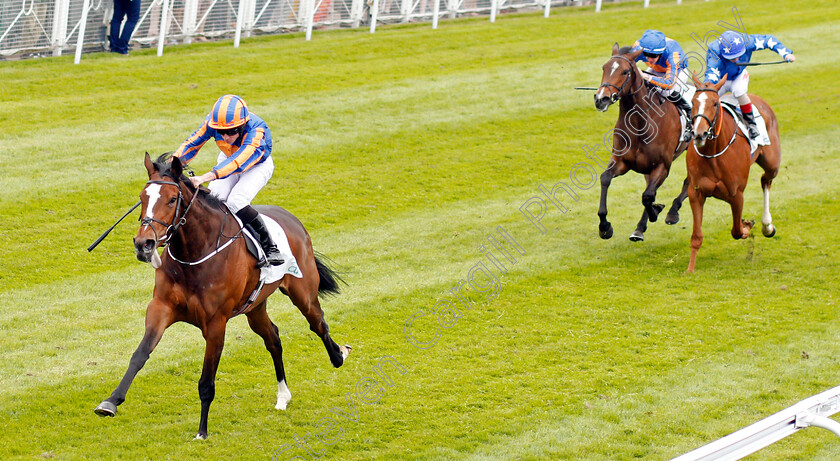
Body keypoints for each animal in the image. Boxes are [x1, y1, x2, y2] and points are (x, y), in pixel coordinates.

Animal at [94, 153, 352, 436]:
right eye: (142, 197)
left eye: (172, 199)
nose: (144, 244)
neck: (195, 254)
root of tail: (293, 220)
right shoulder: (160, 308)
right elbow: (139, 355)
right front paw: (110, 402)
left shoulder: (216, 323)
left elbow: (206, 381)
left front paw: (202, 431)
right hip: (255, 307)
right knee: (273, 338)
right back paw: (283, 396)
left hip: (302, 292)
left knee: (318, 323)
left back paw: (339, 355)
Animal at [592, 43, 688, 241]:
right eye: (604, 68)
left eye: (625, 71)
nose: (601, 99)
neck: (640, 123)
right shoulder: (622, 161)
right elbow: (605, 178)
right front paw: (605, 226)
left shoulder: (662, 166)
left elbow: (648, 196)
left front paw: (656, 211)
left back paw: (672, 212)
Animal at [684, 73, 784, 272]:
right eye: (693, 101)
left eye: (715, 103)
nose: (699, 134)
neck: (713, 152)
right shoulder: (695, 193)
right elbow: (696, 236)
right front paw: (690, 269)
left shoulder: (736, 194)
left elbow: (737, 231)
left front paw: (747, 225)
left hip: (772, 163)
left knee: (766, 180)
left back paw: (767, 225)